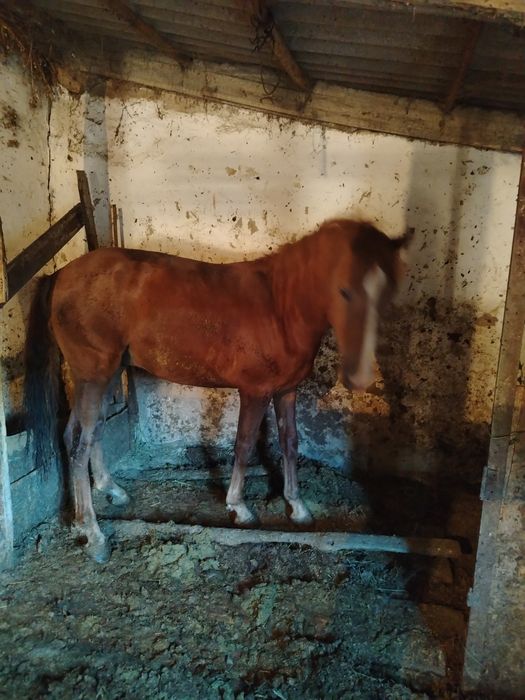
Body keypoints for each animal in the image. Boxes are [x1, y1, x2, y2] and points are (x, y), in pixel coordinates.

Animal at [24, 218, 412, 563]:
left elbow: (290, 442)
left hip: (104, 374)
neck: (280, 307)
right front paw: (239, 507)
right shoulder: (254, 391)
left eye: (389, 292)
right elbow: (244, 444)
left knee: (84, 434)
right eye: (344, 290)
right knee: (79, 445)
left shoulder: (286, 391)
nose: (359, 377)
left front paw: (297, 506)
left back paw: (107, 494)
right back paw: (93, 535)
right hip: (93, 375)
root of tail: (61, 275)